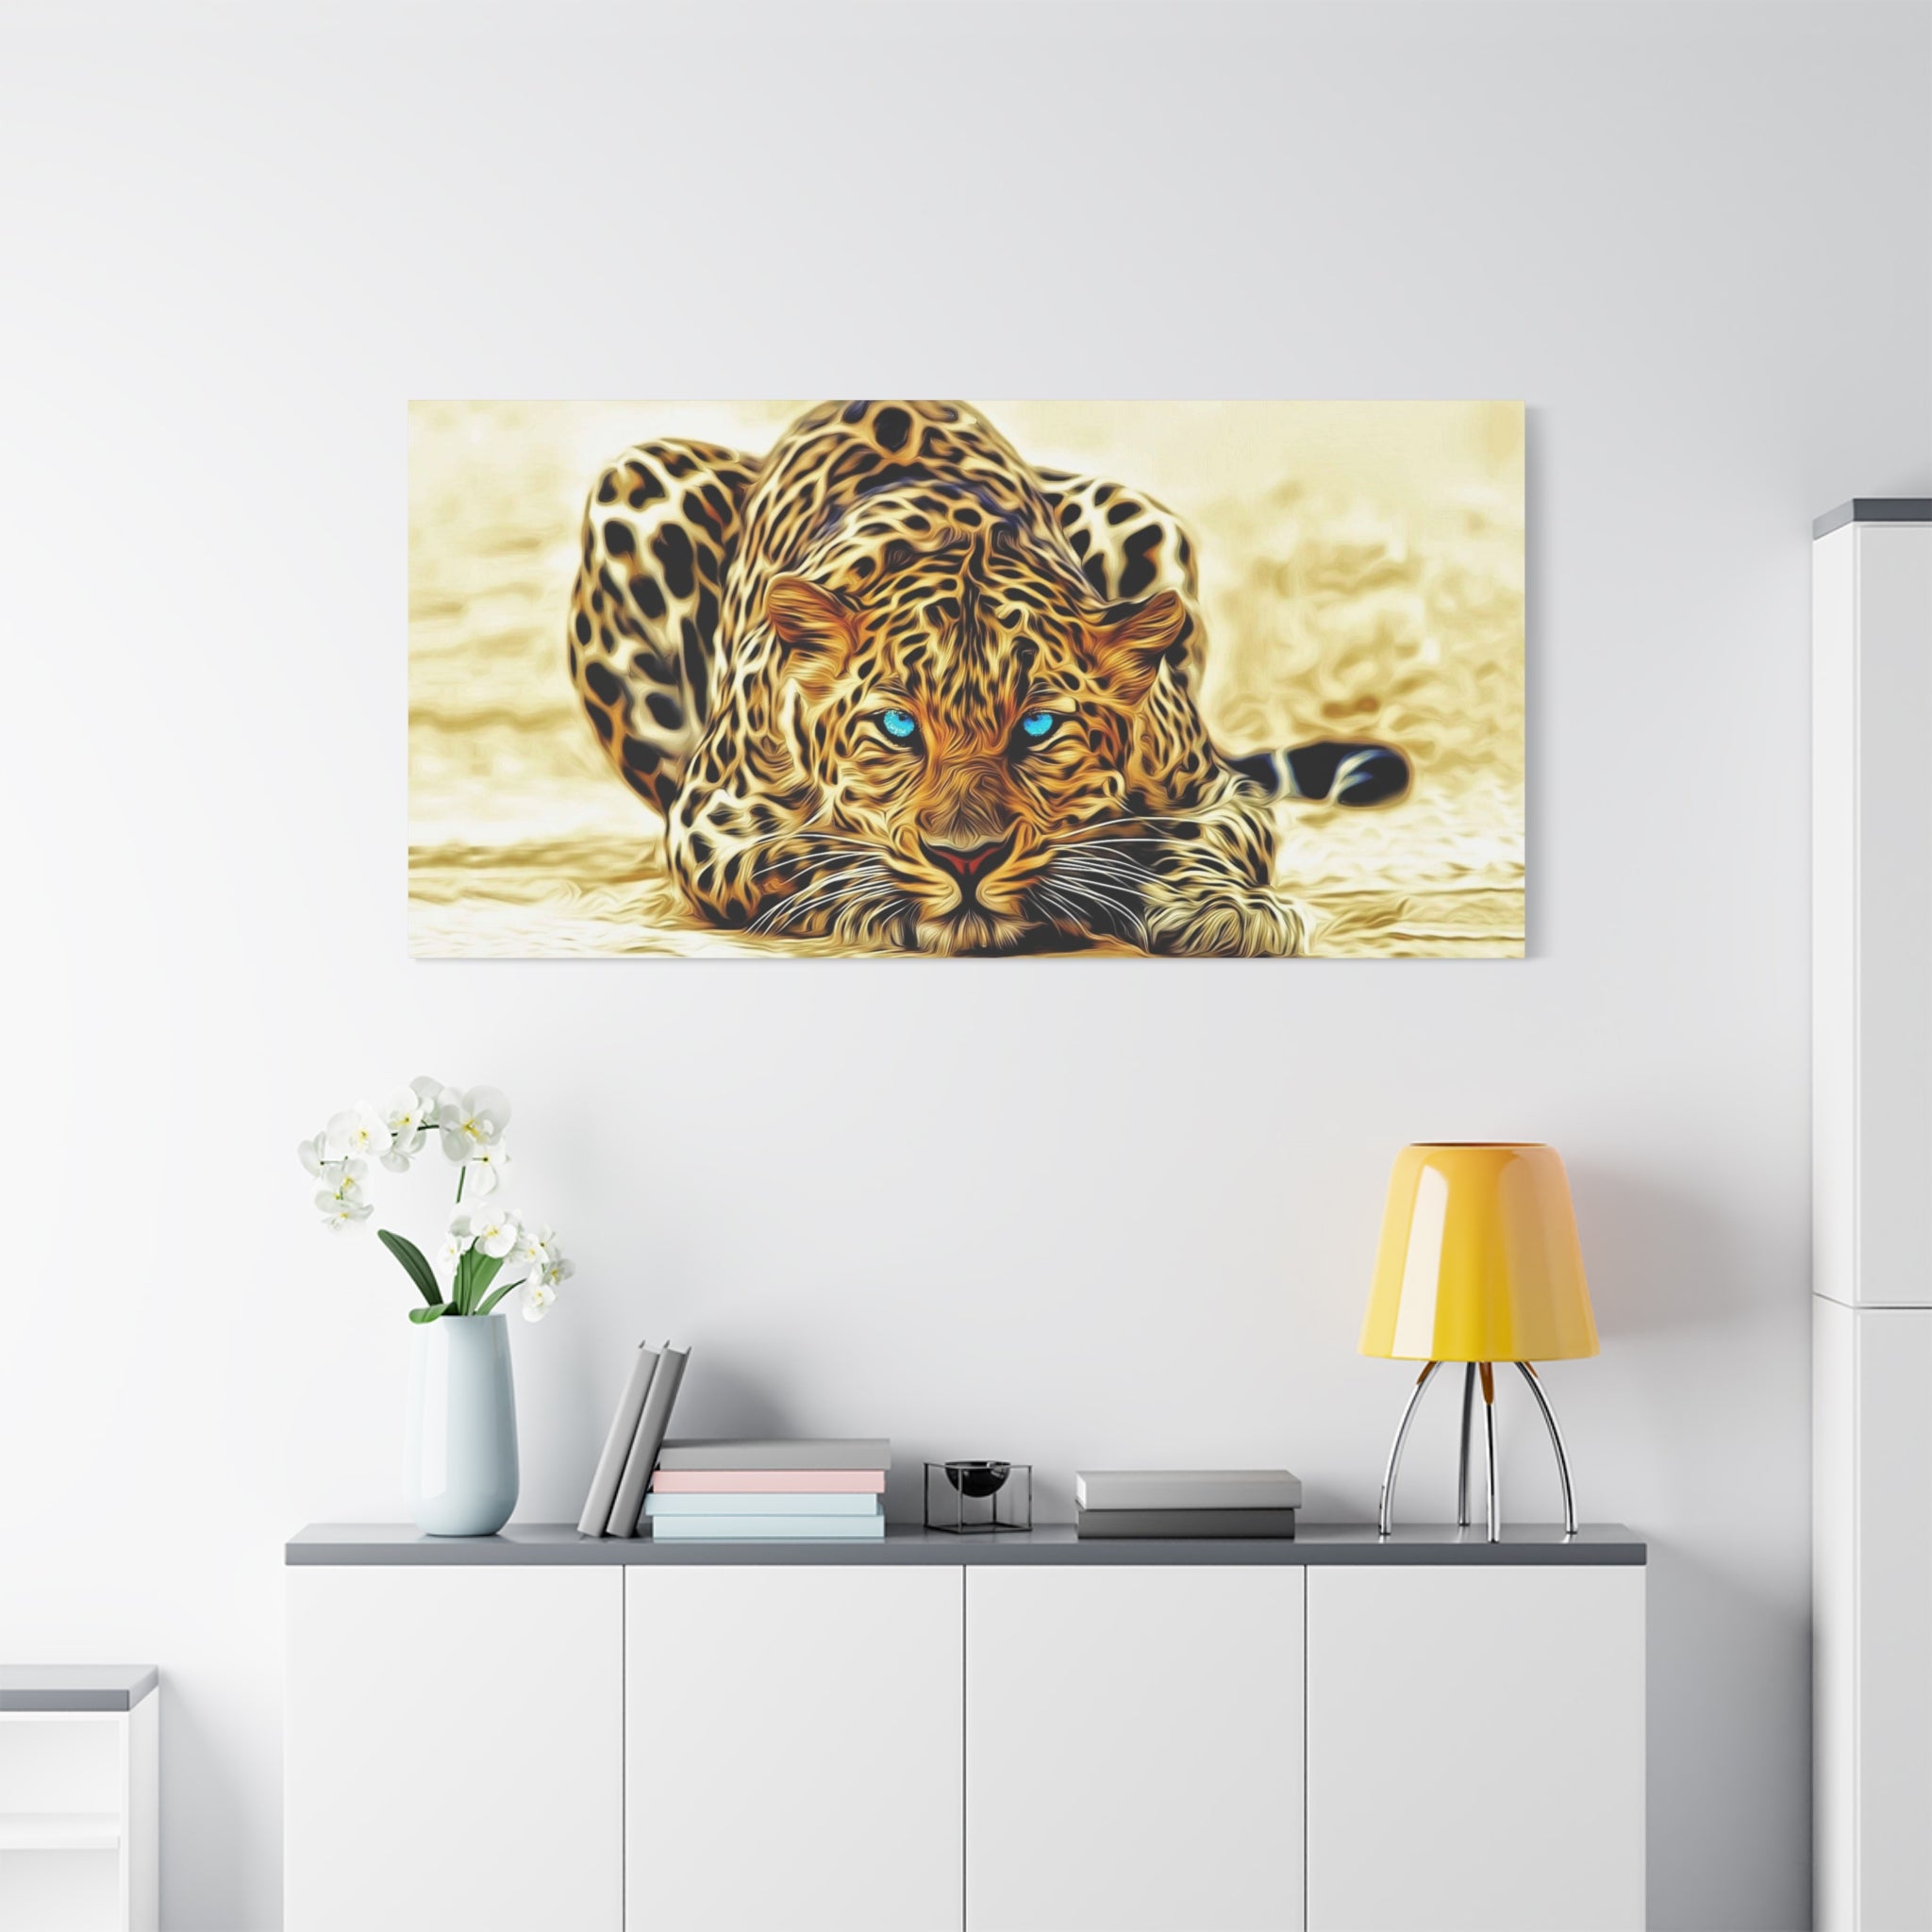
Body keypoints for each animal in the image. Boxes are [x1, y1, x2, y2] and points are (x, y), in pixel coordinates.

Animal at [567, 400, 1409, 956]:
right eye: (898, 726)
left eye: (1038, 726)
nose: (967, 860)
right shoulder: (712, 821)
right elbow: (805, 855)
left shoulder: (1215, 790)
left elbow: (1208, 836)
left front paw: (1220, 909)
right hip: (636, 481)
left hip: (1140, 514)